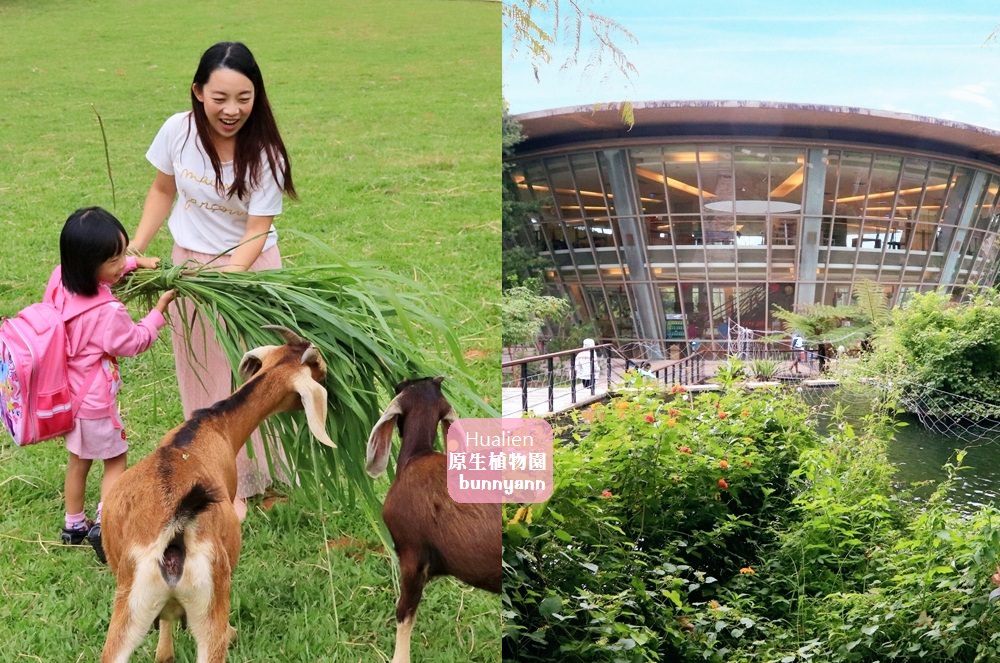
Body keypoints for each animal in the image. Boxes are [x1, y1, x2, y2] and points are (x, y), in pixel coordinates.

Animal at [101, 328, 336, 663]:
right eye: (318, 367)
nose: (332, 383)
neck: (208, 429)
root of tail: (175, 534)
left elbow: (165, 635)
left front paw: (165, 651)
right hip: (211, 600)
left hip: (129, 607)